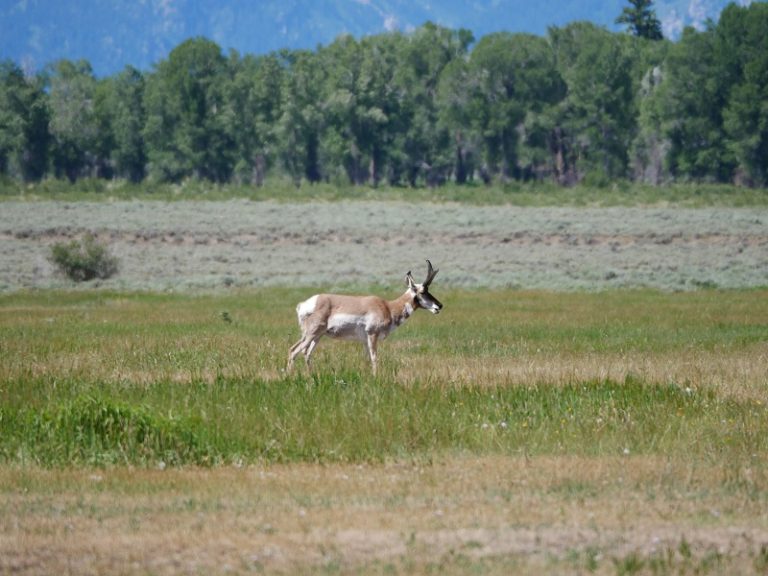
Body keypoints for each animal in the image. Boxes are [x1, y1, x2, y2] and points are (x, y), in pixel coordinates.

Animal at [288, 260, 444, 374]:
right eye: (423, 291)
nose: (440, 306)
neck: (388, 307)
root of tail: (305, 304)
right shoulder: (372, 335)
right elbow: (375, 358)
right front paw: (376, 377)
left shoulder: (364, 340)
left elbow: (367, 359)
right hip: (311, 334)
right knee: (294, 351)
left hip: (317, 336)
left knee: (305, 353)